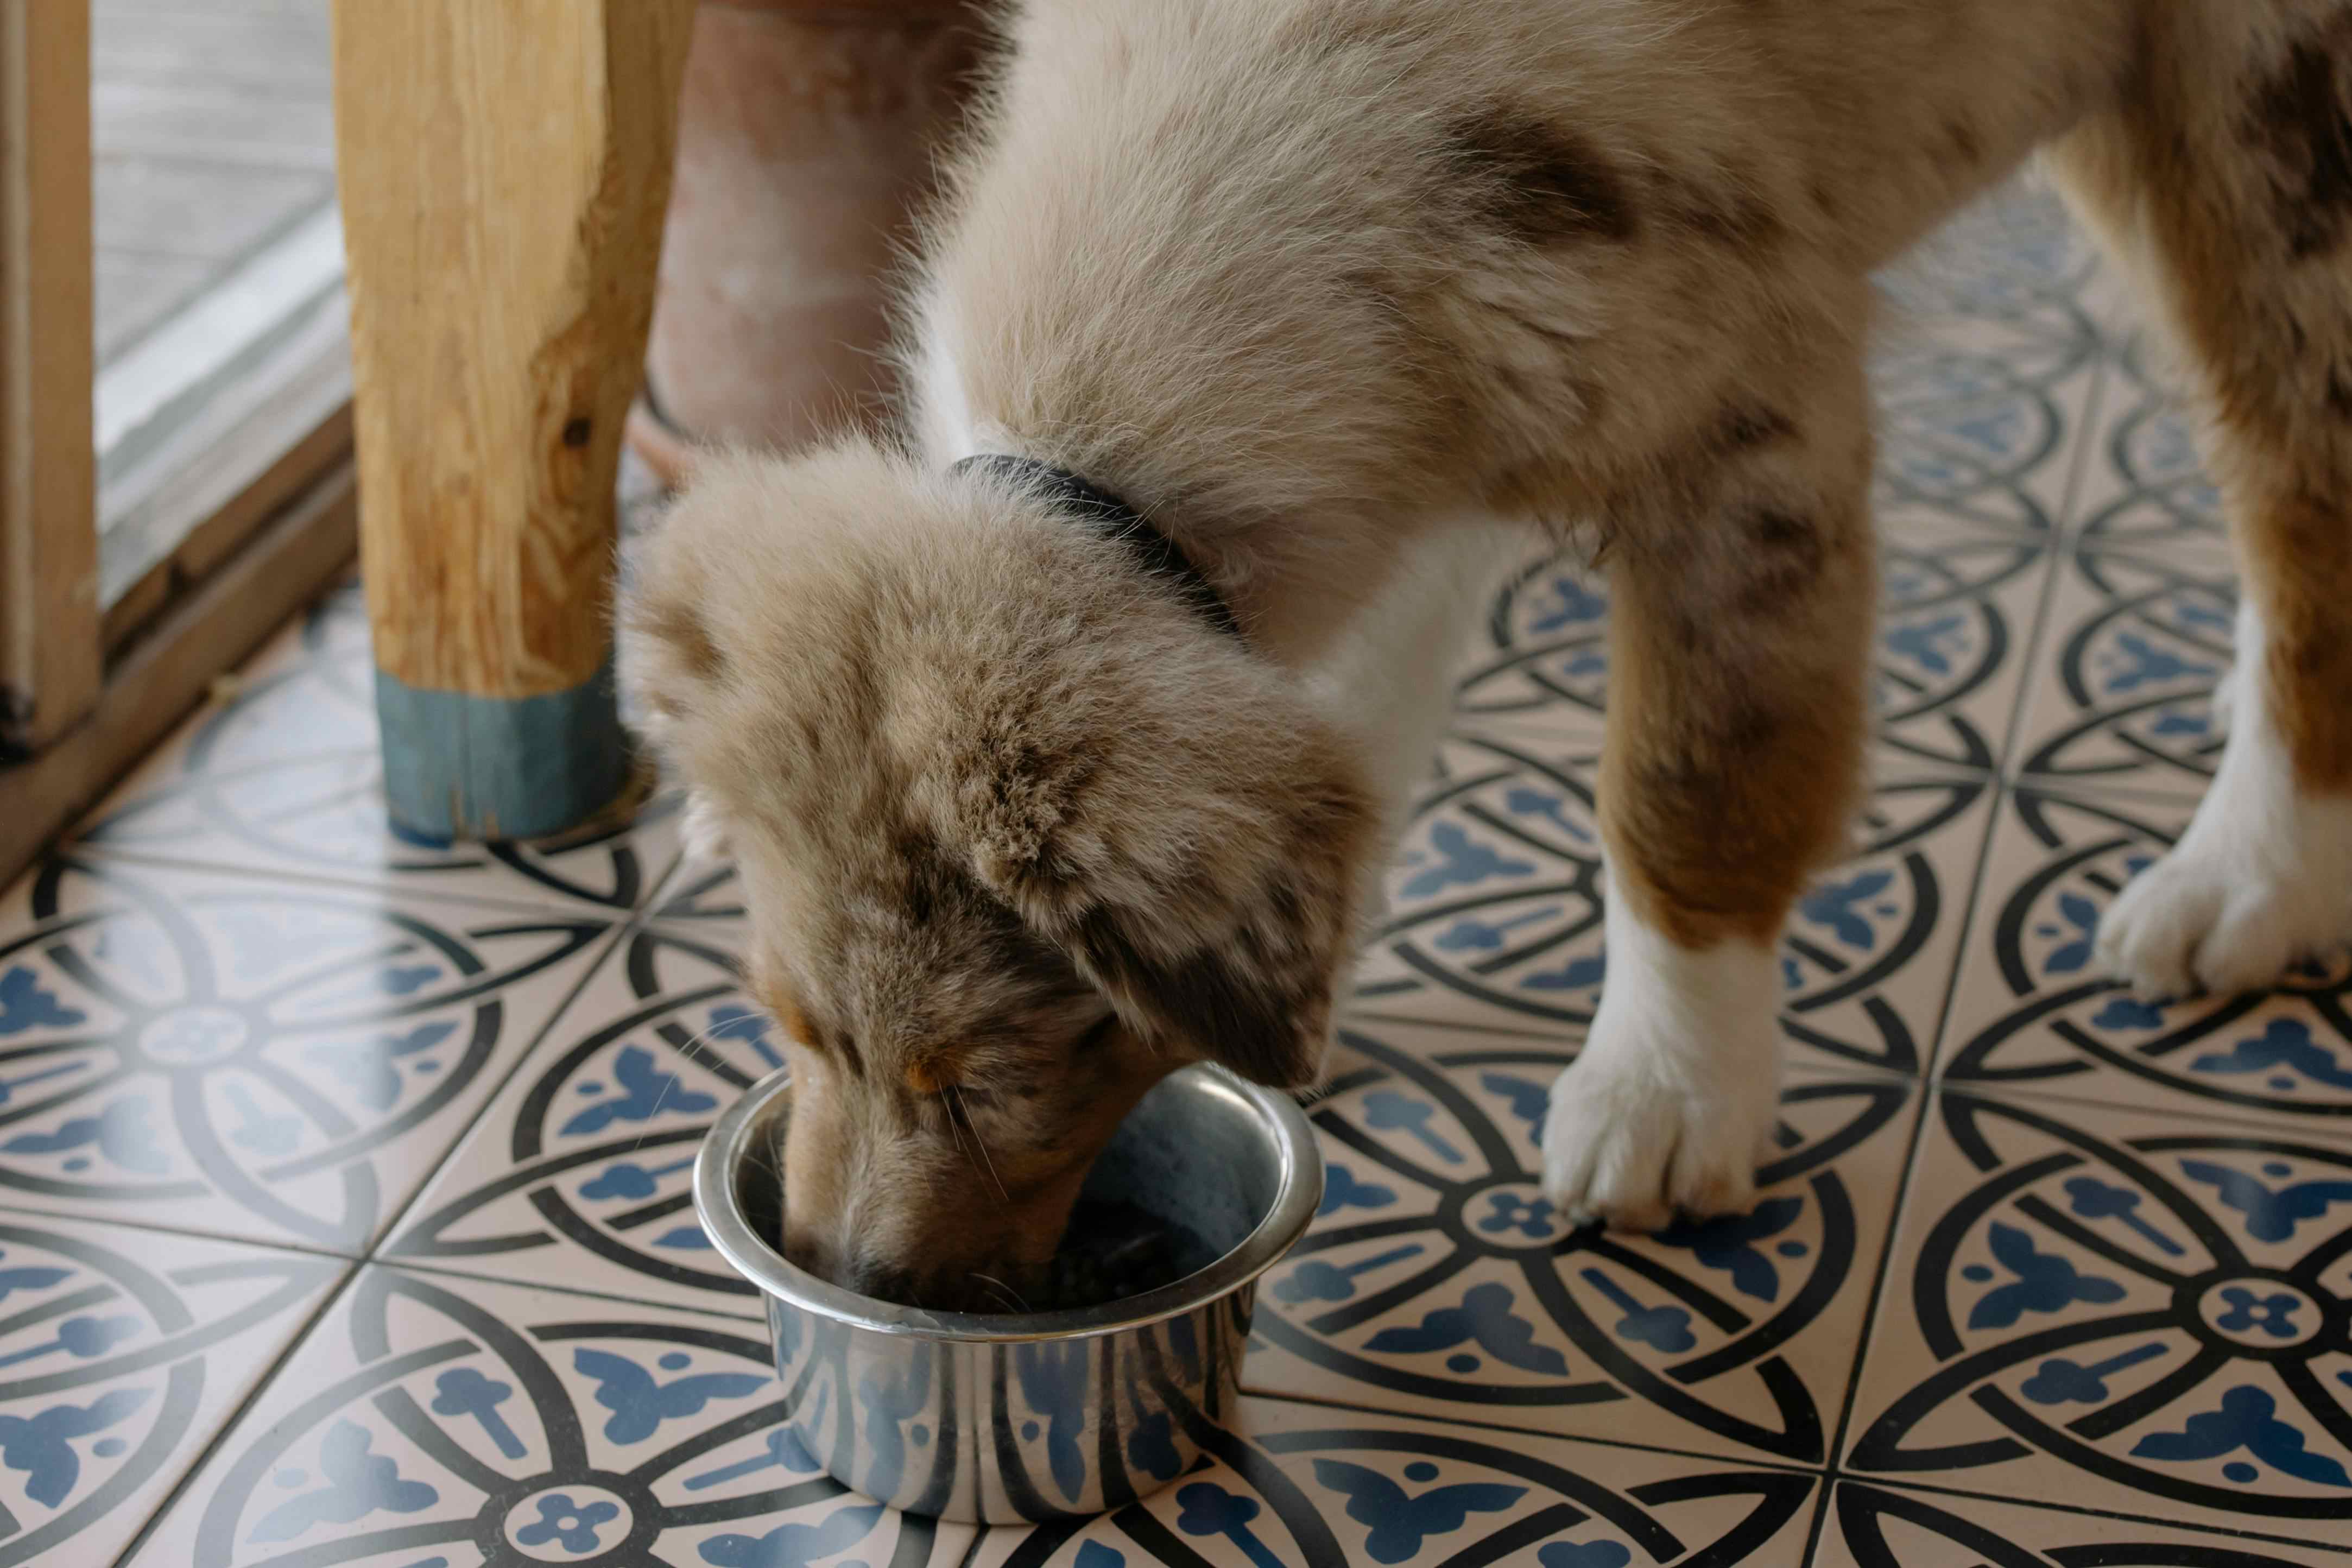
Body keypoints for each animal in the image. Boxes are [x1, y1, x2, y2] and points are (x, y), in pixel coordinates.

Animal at [622, 0, 2352, 1308]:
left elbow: (1686, 787)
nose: (847, 1276)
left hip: (2261, 116)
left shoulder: (1744, 427)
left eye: (973, 1082)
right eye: (791, 1030)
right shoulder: (1424, 433)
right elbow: (1353, 715)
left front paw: (1665, 1094)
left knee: (2295, 486)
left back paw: (2250, 874)